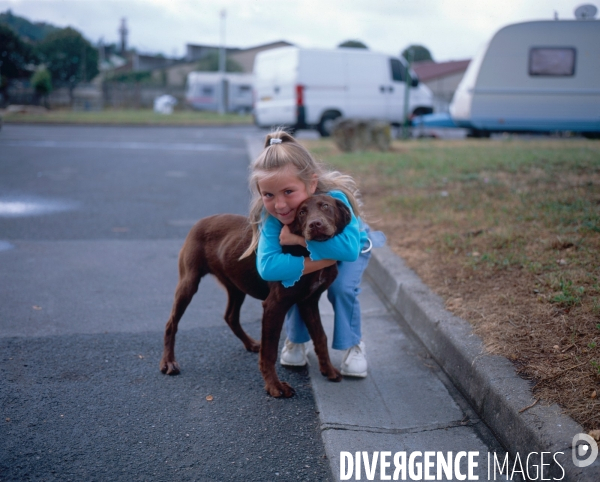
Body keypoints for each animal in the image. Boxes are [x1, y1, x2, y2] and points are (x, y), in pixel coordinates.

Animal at [162, 194, 354, 398]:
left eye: (325, 206)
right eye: (301, 212)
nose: (315, 224)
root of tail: (200, 221)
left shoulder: (309, 301)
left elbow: (321, 337)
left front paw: (329, 370)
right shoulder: (274, 305)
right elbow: (270, 349)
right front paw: (274, 386)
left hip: (236, 286)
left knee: (230, 316)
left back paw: (251, 344)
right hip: (189, 282)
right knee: (171, 323)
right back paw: (168, 362)